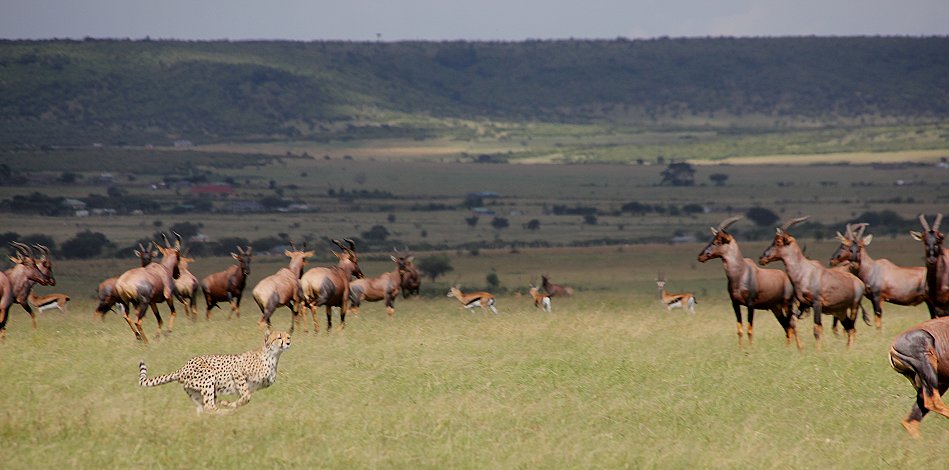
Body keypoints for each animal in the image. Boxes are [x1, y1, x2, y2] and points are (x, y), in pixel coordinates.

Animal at [139, 328, 288, 414]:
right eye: (279, 337)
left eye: (288, 336)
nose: (288, 342)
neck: (273, 356)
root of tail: (182, 368)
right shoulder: (237, 372)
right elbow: (246, 397)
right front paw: (230, 404)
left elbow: (245, 397)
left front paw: (231, 404)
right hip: (208, 377)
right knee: (209, 406)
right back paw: (224, 412)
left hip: (197, 391)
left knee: (203, 408)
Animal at [696, 216, 800, 348]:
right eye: (713, 239)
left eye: (719, 241)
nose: (701, 256)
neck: (741, 272)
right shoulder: (735, 304)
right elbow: (739, 330)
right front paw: (741, 350)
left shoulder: (751, 304)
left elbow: (749, 330)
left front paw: (750, 349)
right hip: (775, 308)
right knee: (787, 327)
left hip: (787, 304)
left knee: (792, 325)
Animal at [756, 217, 868, 348]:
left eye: (778, 241)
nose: (762, 258)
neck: (806, 271)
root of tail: (859, 282)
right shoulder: (803, 304)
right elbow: (792, 322)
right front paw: (799, 348)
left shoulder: (817, 303)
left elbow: (817, 328)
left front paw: (817, 351)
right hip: (840, 311)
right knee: (849, 327)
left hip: (854, 307)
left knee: (852, 328)